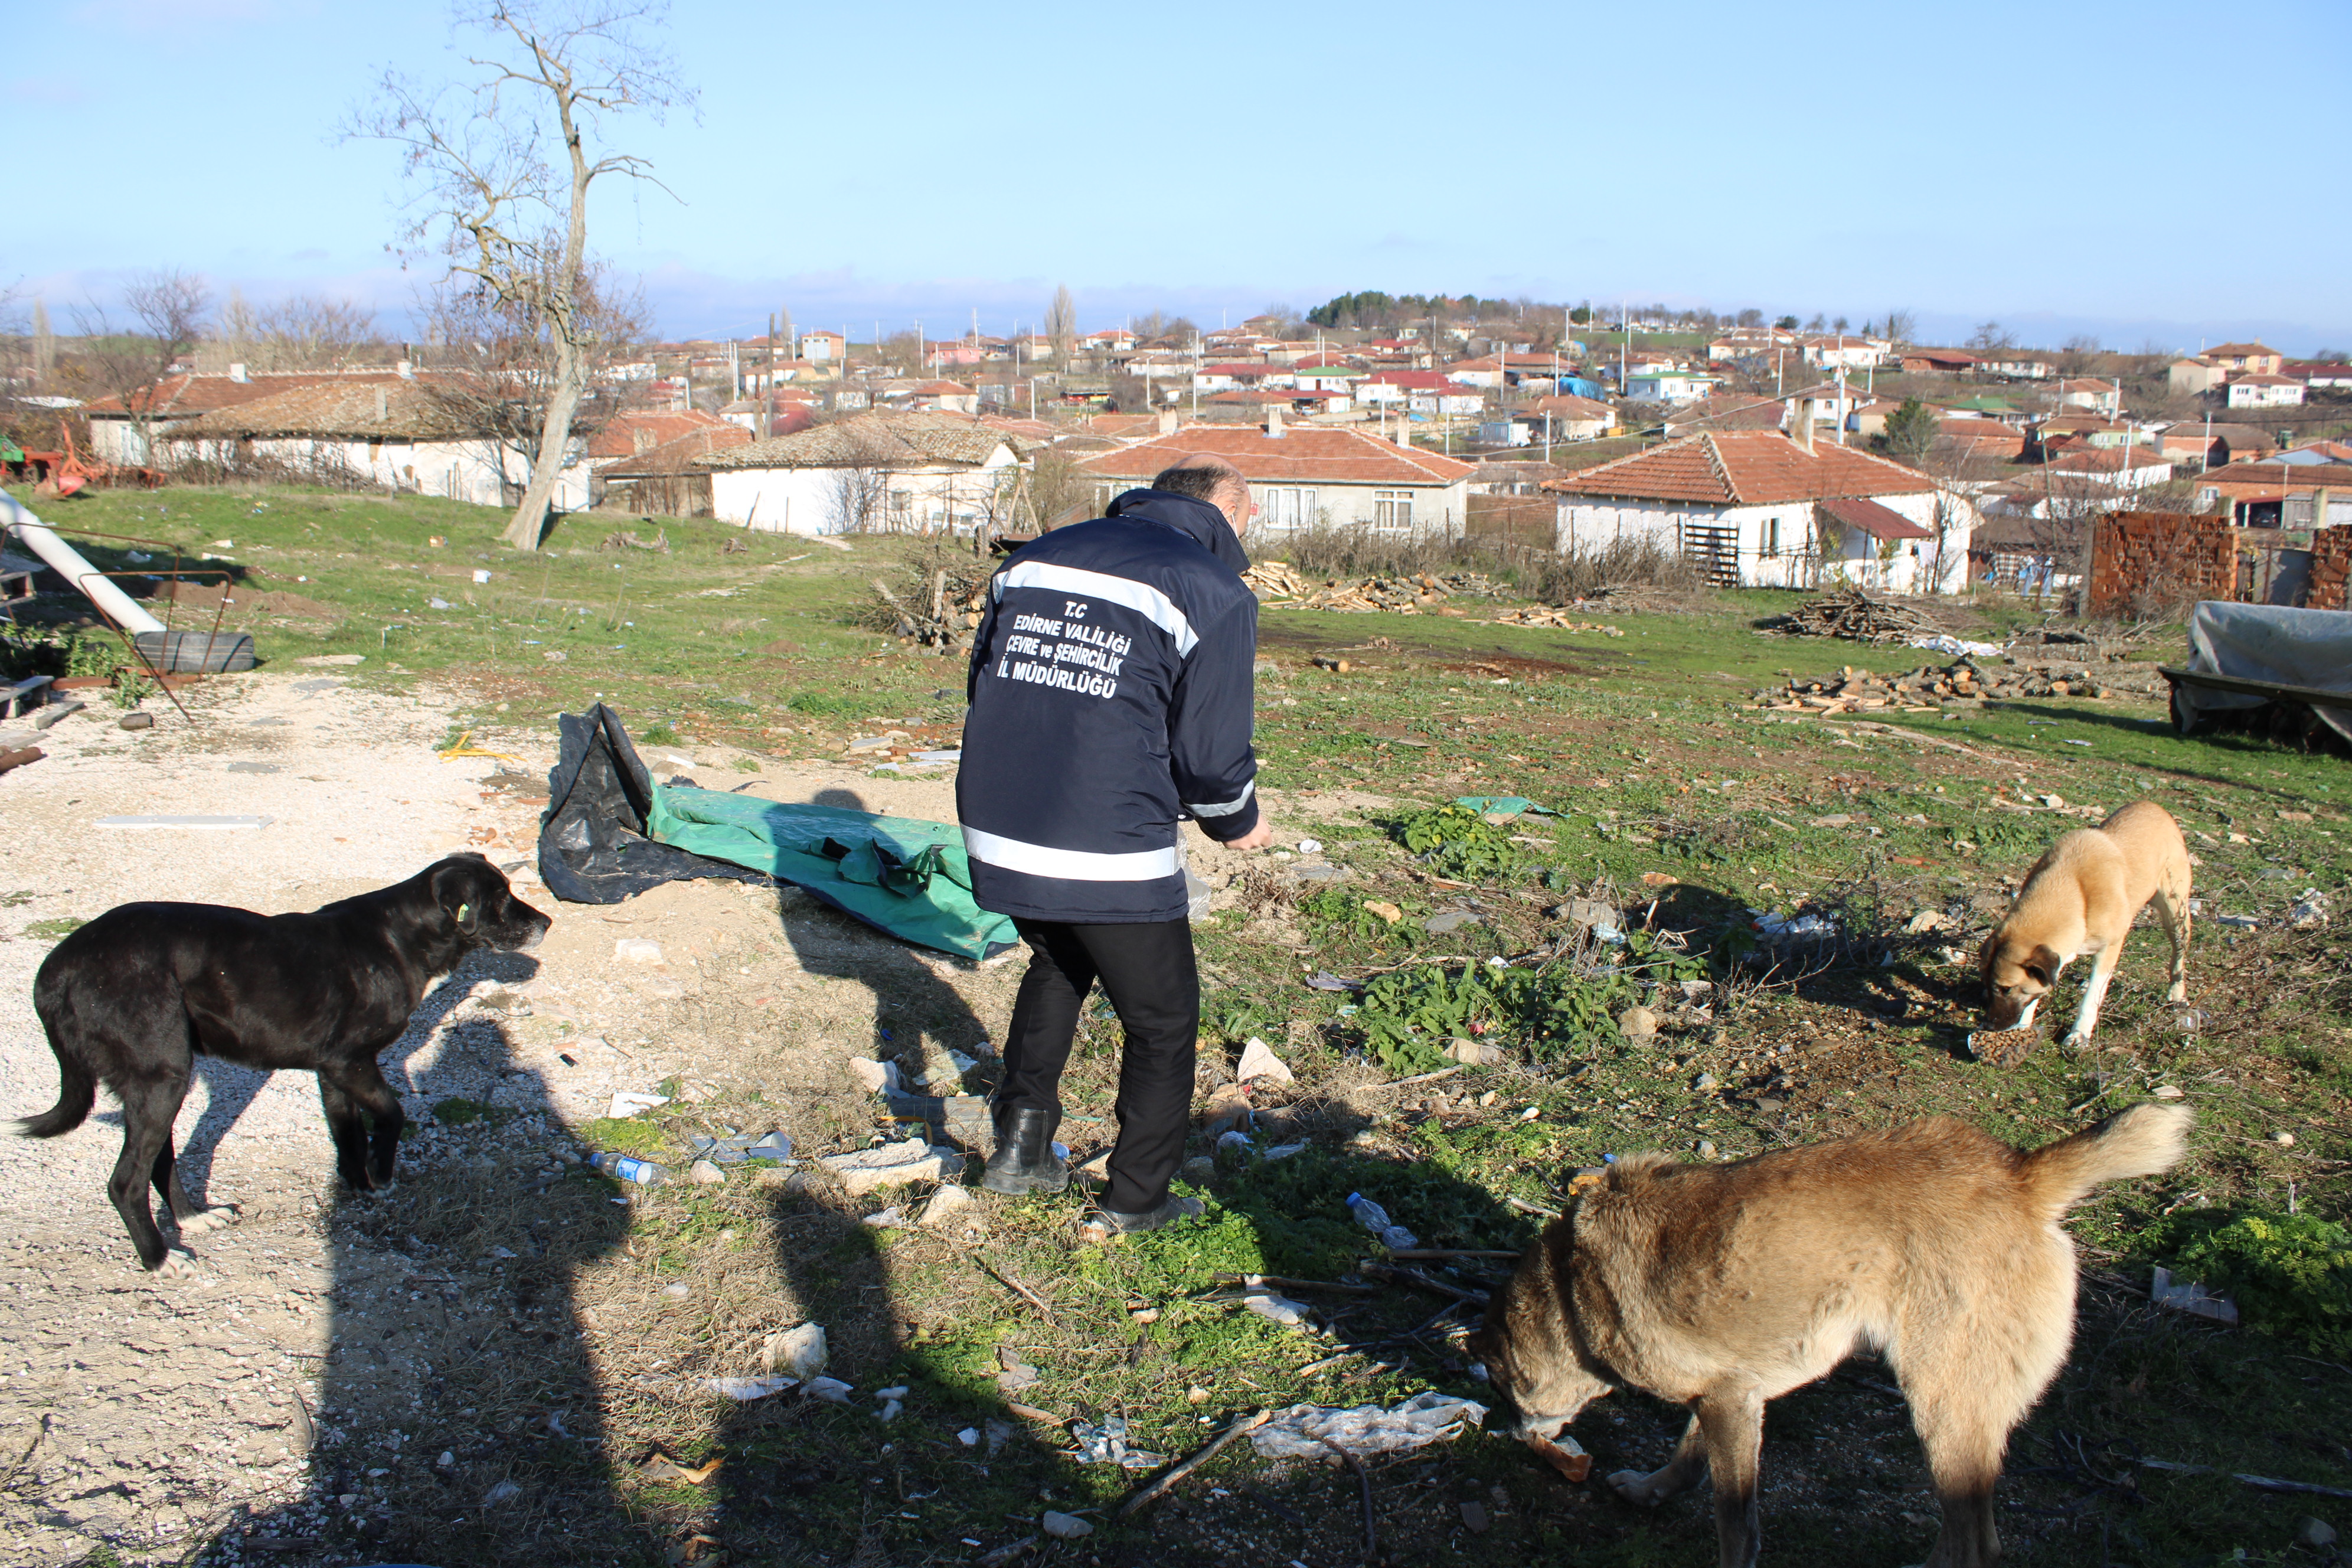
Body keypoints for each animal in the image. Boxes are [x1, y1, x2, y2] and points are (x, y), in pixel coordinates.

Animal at [18, 851, 550, 1269]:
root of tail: (57, 967)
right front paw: (381, 1176)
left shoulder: (334, 1072)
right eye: (501, 899)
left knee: (159, 1160)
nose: (547, 923)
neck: (401, 936)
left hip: (157, 1081)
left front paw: (356, 1186)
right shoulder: (352, 1064)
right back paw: (160, 1259)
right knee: (125, 1181)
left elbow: (348, 1134)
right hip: (162, 1075)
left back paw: (194, 1219)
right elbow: (393, 1116)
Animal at [1476, 1105, 2192, 1568]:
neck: (1572, 1285)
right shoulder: (1729, 1396)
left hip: (1943, 1411)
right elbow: (1688, 1455)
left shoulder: (1729, 1405)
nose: (1513, 1436)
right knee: (1968, 1533)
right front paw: (1653, 1491)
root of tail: (2021, 1174)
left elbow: (1736, 1525)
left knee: (1976, 1546)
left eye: (1507, 1389)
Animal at [1975, 803, 2192, 1048]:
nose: (1988, 1025)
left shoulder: (2110, 948)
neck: (2071, 889)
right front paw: (2023, 1027)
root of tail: (2153, 806)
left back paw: (2177, 994)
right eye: (1985, 982)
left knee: (2177, 957)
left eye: (2006, 989)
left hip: (2176, 914)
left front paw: (2079, 1034)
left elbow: (2090, 1000)